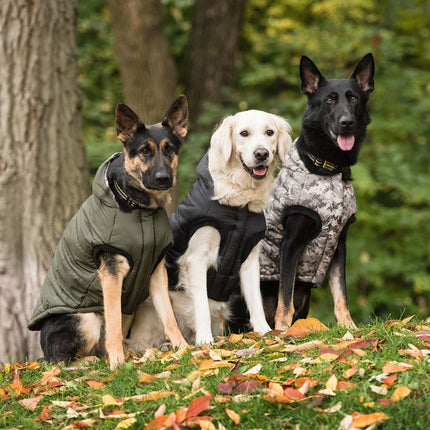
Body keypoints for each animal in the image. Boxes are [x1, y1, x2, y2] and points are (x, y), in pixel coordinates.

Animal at [125, 109, 292, 348]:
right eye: (244, 133)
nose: (261, 153)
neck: (240, 205)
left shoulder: (250, 259)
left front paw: (265, 332)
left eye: (269, 132)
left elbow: (256, 301)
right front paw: (205, 340)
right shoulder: (196, 258)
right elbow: (201, 304)